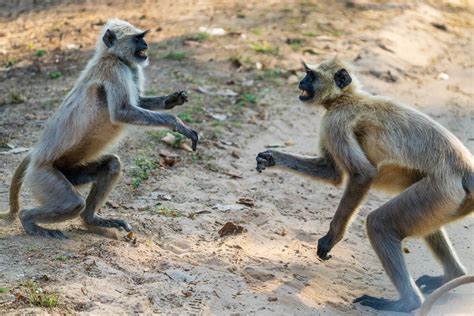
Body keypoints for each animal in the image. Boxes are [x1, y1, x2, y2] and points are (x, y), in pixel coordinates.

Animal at [2, 18, 198, 238]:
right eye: (138, 39)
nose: (146, 45)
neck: (112, 56)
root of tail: (36, 154)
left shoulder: (130, 70)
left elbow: (137, 102)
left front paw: (173, 100)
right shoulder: (114, 69)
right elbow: (122, 112)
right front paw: (176, 122)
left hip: (70, 171)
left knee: (111, 165)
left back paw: (92, 220)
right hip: (43, 176)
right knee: (73, 204)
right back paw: (28, 221)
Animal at [258, 58, 472, 312]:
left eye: (310, 76)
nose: (300, 82)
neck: (345, 98)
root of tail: (465, 168)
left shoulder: (336, 121)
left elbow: (362, 174)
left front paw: (331, 238)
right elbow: (330, 172)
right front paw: (271, 158)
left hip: (442, 190)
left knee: (378, 223)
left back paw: (407, 303)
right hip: (448, 201)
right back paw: (452, 275)